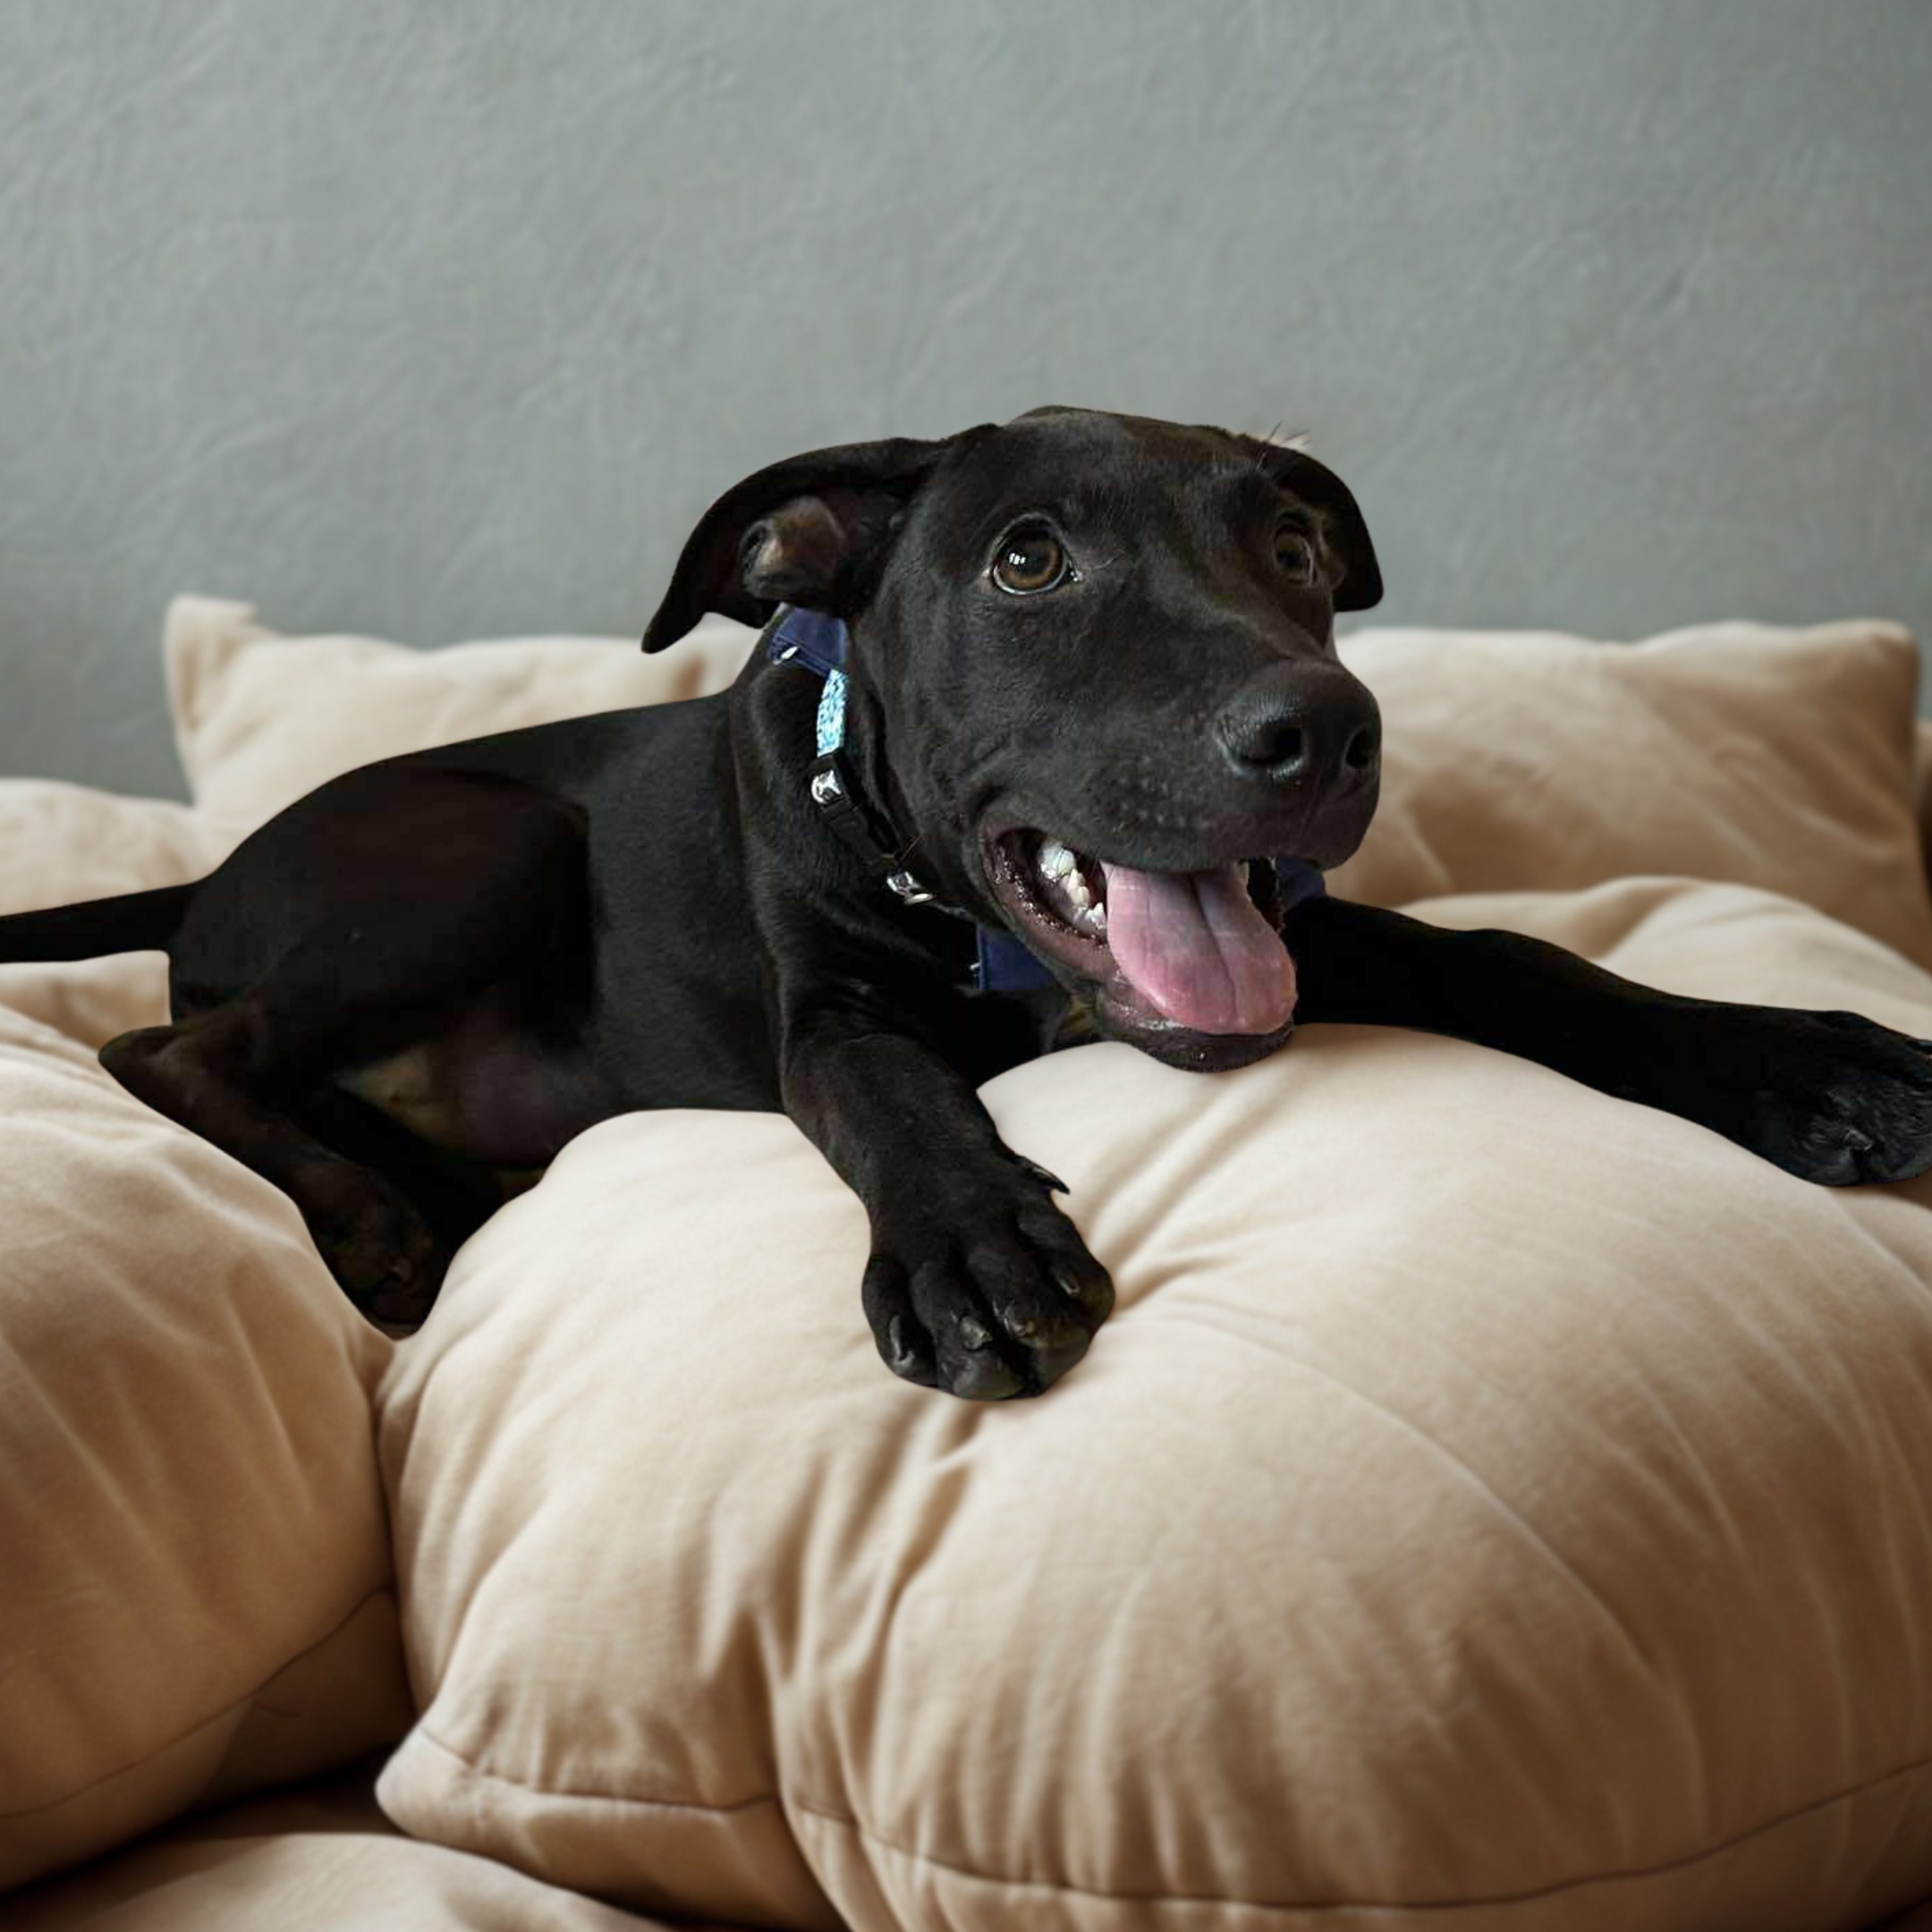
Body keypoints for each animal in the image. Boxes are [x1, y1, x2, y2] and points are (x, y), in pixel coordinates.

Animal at [7, 407, 1932, 1400]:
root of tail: (210, 870)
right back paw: (373, 1218)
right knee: (164, 1058)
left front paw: (1801, 1060)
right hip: (485, 851)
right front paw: (972, 1244)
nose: (1325, 731)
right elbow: (887, 1096)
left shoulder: (1307, 927)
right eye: (1028, 560)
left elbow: (1519, 952)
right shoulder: (831, 1009)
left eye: (1297, 553)